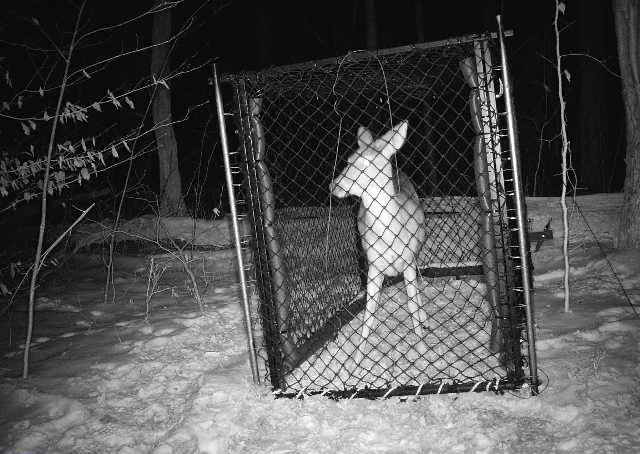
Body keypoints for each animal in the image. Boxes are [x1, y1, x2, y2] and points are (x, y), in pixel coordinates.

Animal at [330, 121, 424, 358]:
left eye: (365, 163)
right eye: (348, 160)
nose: (333, 186)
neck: (390, 236)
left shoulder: (407, 261)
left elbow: (412, 306)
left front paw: (422, 349)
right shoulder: (374, 266)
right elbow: (368, 314)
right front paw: (357, 359)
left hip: (417, 250)